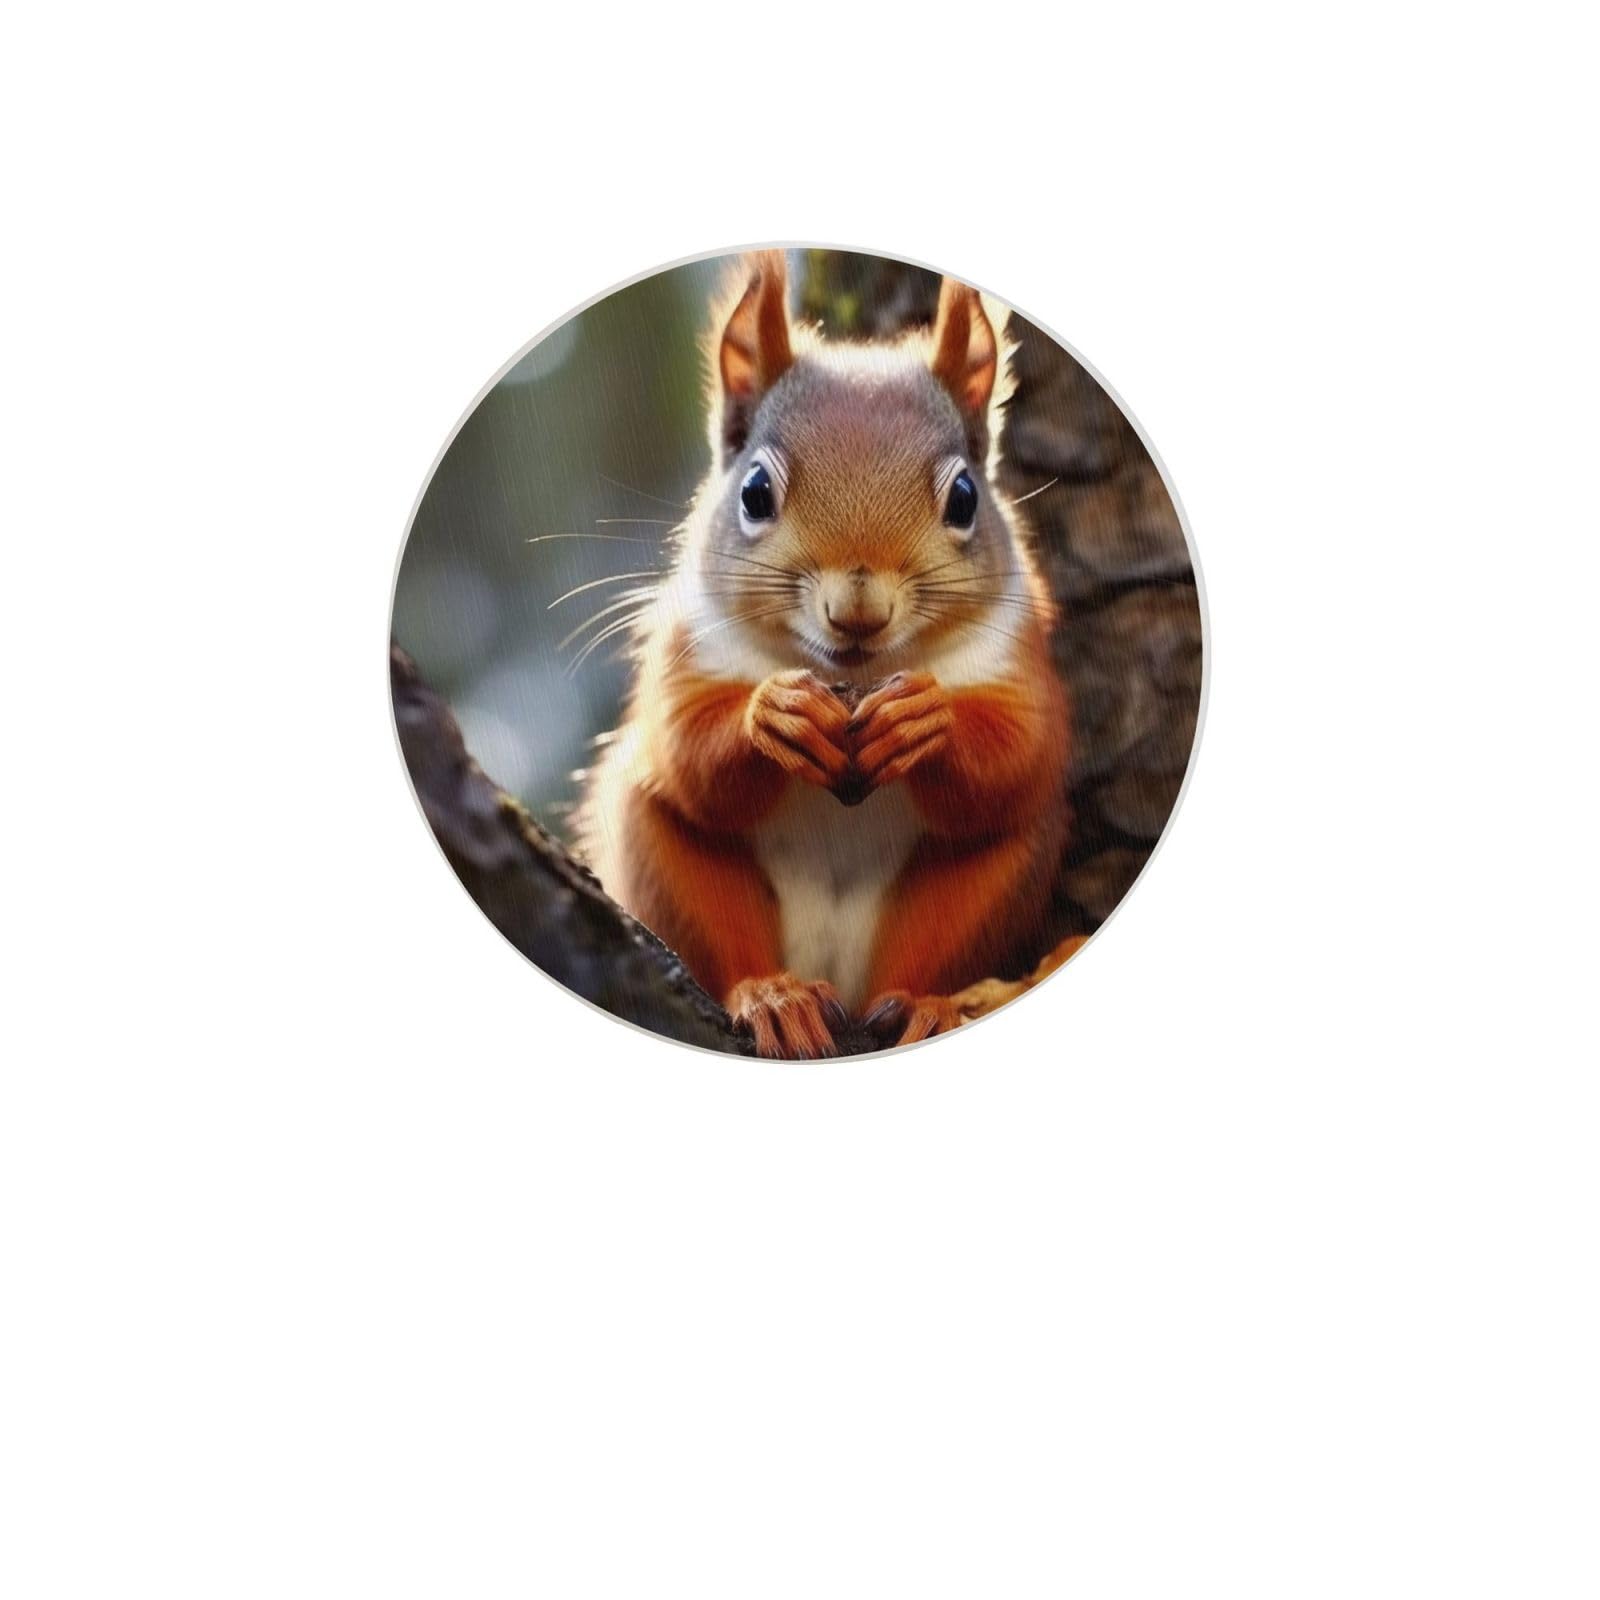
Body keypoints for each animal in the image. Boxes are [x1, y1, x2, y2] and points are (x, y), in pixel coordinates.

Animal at [578, 251, 1071, 1058]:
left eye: (966, 497)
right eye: (754, 491)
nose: (858, 612)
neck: (855, 675)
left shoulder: (1019, 655)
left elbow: (1020, 754)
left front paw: (923, 717)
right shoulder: (684, 647)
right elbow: (689, 753)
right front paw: (774, 713)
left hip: (998, 873)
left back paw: (921, 1007)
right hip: (658, 851)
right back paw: (775, 998)